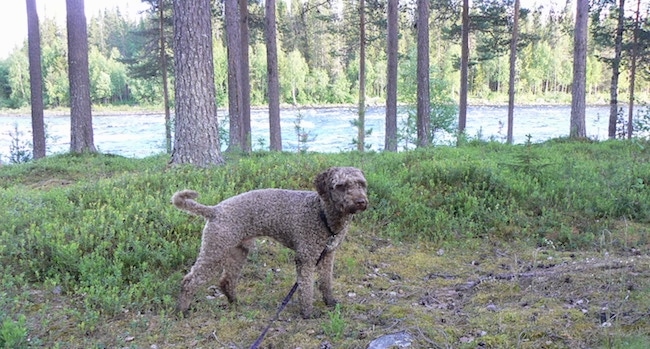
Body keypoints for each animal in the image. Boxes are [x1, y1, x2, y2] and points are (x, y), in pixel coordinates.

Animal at [170, 167, 368, 316]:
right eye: (340, 186)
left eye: (361, 184)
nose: (361, 202)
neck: (322, 213)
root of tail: (215, 210)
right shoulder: (306, 257)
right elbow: (306, 287)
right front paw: (307, 313)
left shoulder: (327, 255)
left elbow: (326, 282)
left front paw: (330, 302)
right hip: (215, 251)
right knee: (189, 281)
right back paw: (181, 311)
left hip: (238, 251)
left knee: (226, 280)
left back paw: (235, 302)